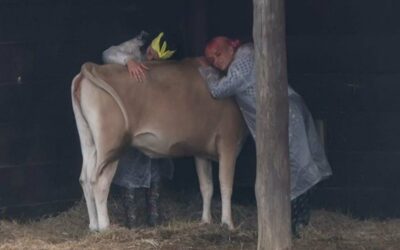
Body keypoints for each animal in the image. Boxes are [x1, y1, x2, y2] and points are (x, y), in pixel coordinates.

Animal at [71, 57, 247, 231]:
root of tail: (94, 68)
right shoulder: (228, 142)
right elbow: (225, 185)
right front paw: (228, 223)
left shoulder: (201, 151)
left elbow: (206, 187)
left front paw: (205, 220)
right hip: (110, 144)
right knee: (99, 182)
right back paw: (105, 227)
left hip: (89, 141)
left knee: (85, 179)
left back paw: (93, 225)